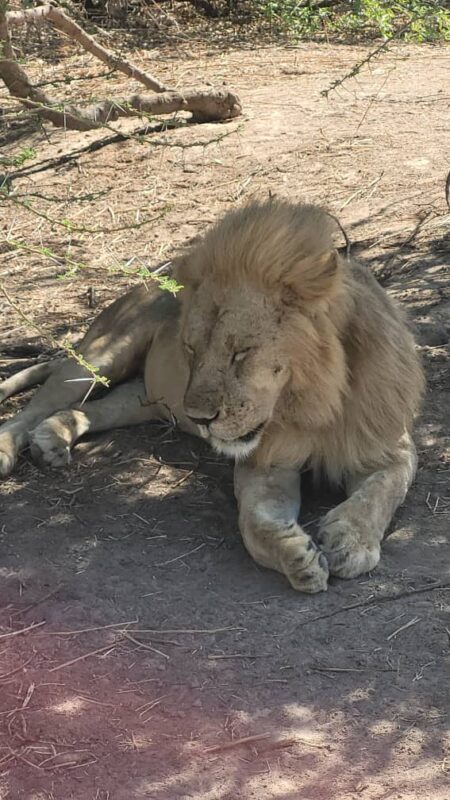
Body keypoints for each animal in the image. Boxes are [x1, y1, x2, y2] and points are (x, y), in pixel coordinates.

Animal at [0, 200, 424, 593]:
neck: (312, 404)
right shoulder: (263, 462)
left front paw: (349, 542)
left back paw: (51, 438)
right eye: (191, 349)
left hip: (145, 399)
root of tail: (146, 282)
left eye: (241, 352)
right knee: (35, 406)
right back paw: (10, 448)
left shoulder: (388, 447)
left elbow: (379, 494)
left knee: (87, 410)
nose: (201, 419)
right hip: (103, 354)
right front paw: (296, 557)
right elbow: (254, 522)